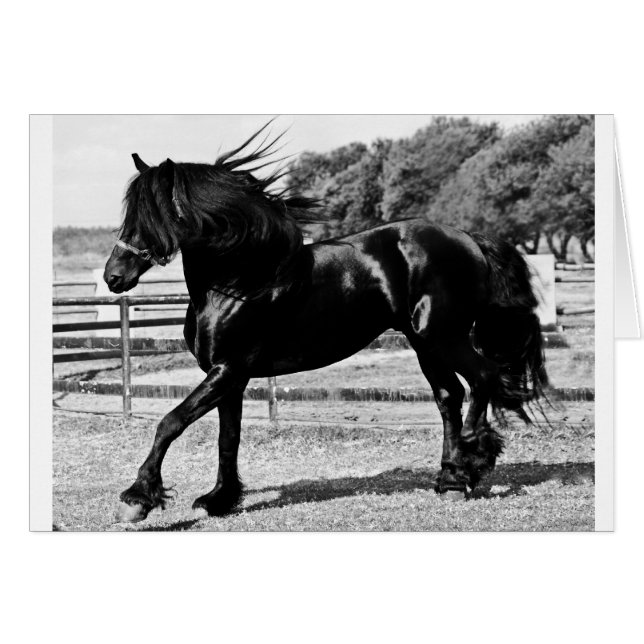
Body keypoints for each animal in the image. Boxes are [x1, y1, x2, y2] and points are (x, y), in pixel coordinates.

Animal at [104, 124, 548, 523]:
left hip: (443, 336)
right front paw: (219, 499)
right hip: (425, 342)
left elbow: (171, 422)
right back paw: (451, 480)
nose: (113, 277)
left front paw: (137, 499)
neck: (238, 282)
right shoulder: (229, 376)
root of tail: (469, 238)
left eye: (156, 215)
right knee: (449, 397)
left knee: (483, 378)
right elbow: (227, 438)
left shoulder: (227, 370)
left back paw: (474, 458)